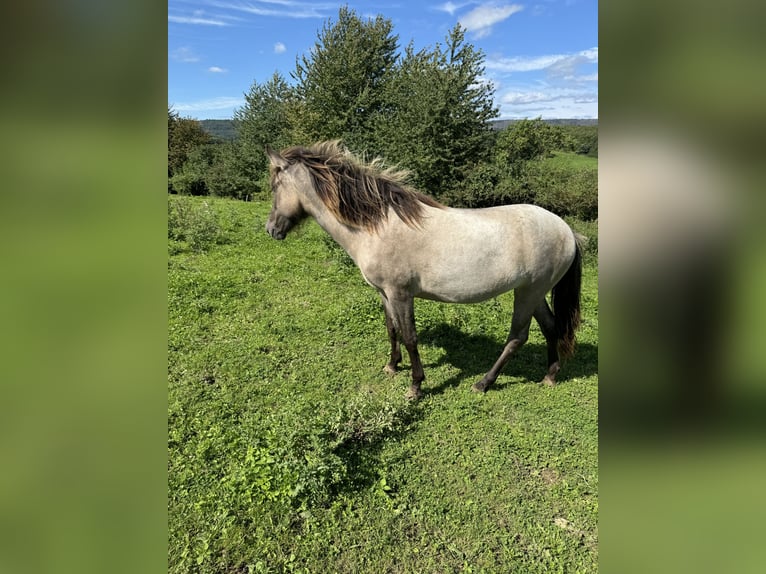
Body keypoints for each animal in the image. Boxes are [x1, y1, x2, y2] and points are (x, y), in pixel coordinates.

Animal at [268, 141, 584, 400]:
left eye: (275, 187)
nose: (271, 229)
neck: (378, 226)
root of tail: (566, 230)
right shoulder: (384, 293)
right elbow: (392, 329)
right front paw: (391, 366)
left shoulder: (401, 294)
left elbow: (410, 337)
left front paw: (415, 386)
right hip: (534, 292)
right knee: (551, 327)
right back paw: (550, 375)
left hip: (529, 293)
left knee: (518, 337)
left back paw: (483, 383)